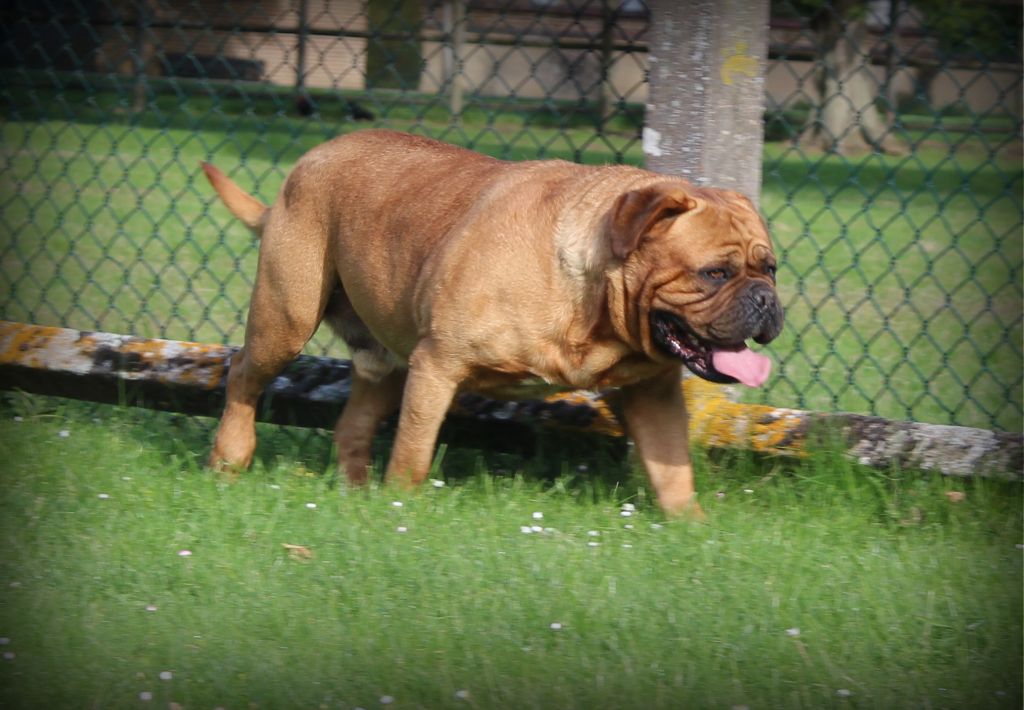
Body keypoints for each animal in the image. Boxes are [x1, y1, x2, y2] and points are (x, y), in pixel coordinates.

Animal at [201, 128, 782, 514]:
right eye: (714, 273)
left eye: (770, 267)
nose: (765, 300)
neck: (588, 304)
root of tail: (308, 161)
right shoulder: (437, 366)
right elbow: (414, 451)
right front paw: (402, 507)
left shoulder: (654, 392)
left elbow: (671, 468)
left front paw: (691, 526)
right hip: (286, 318)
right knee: (244, 378)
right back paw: (230, 460)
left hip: (384, 358)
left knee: (354, 421)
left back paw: (356, 493)